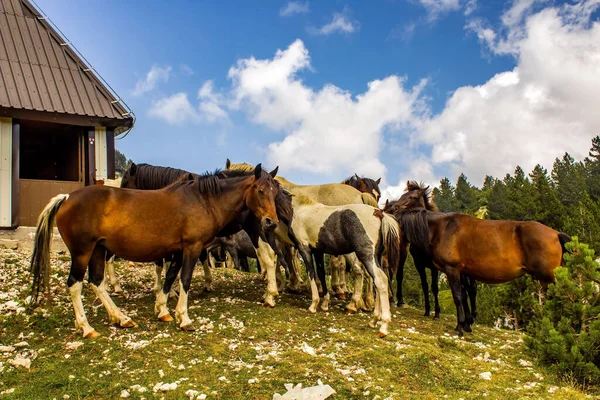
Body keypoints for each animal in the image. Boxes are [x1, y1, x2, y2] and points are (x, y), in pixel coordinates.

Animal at [30, 165, 278, 338]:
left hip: (98, 250)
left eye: (274, 193)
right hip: (83, 252)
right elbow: (184, 280)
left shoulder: (178, 251)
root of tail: (66, 198)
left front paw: (163, 310)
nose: (271, 222)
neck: (203, 200)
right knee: (75, 284)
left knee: (97, 282)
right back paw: (86, 326)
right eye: (260, 190)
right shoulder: (192, 247)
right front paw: (183, 318)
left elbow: (170, 277)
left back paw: (120, 317)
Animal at [278, 195, 400, 338]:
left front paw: (313, 305)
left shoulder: (304, 249)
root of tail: (379, 213)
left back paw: (383, 326)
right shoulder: (318, 251)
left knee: (380, 280)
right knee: (379, 280)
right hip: (377, 257)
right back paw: (373, 320)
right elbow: (321, 273)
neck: (298, 208)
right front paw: (324, 303)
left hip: (367, 255)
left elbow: (311, 273)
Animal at [384, 181, 572, 334]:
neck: (440, 228)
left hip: (549, 279)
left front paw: (460, 326)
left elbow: (458, 297)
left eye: (412, 196)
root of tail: (556, 234)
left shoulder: (452, 270)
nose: (393, 208)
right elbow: (463, 295)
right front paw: (466, 323)